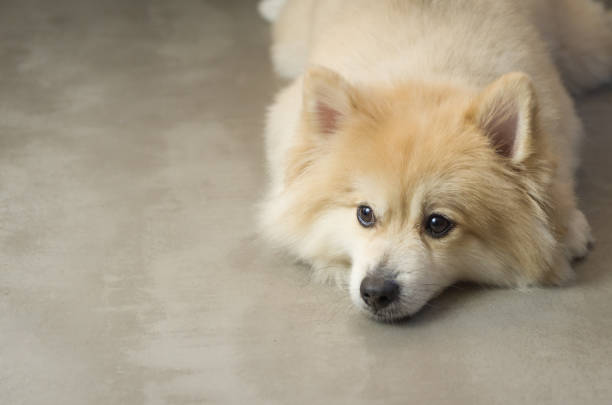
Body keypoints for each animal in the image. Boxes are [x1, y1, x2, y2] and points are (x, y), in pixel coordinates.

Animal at [258, 0, 612, 322]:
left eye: (437, 223)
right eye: (365, 214)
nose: (375, 291)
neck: (425, 78)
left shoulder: (561, 118)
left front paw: (568, 225)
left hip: (584, 46)